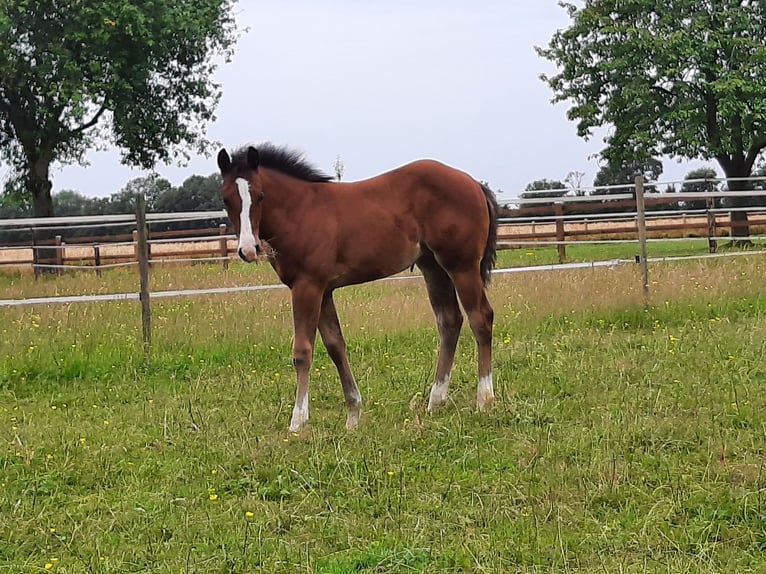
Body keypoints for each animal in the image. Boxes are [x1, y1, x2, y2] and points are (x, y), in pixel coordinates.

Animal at [218, 144, 498, 432]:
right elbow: (335, 346)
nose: (248, 250)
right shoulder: (324, 290)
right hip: (433, 267)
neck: (300, 213)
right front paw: (353, 414)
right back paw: (436, 400)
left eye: (260, 195)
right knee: (449, 321)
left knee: (481, 318)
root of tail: (474, 184)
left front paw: (297, 421)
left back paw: (484, 400)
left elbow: (303, 351)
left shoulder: (307, 286)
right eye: (227, 199)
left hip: (461, 265)